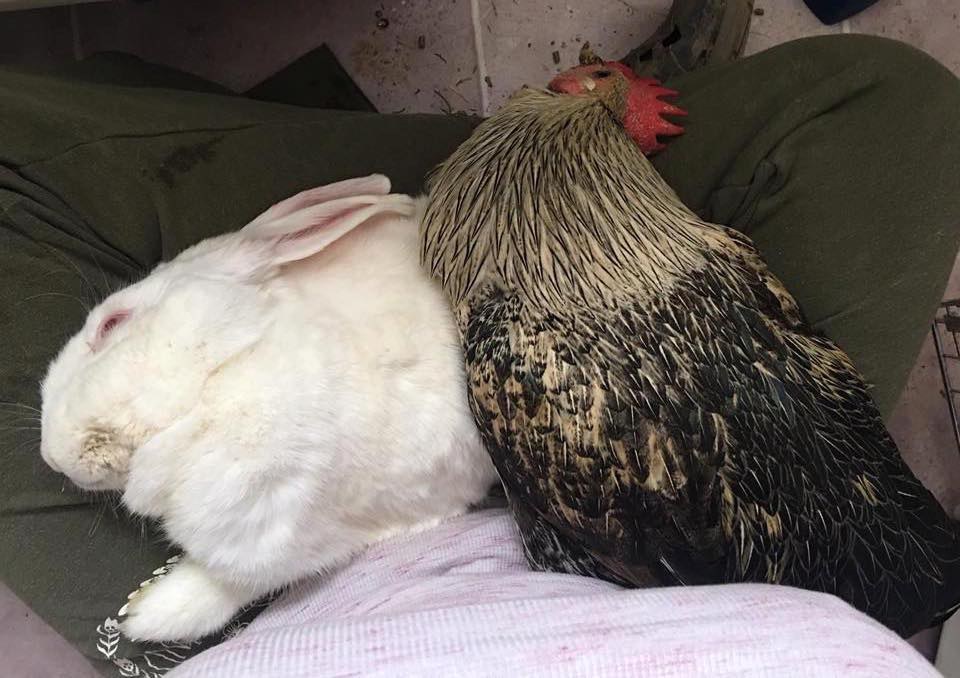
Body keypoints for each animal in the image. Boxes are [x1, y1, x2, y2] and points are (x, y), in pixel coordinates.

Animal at [39, 174, 498, 644]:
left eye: (112, 323)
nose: (50, 457)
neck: (223, 372)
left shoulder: (282, 539)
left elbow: (223, 588)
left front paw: (142, 614)